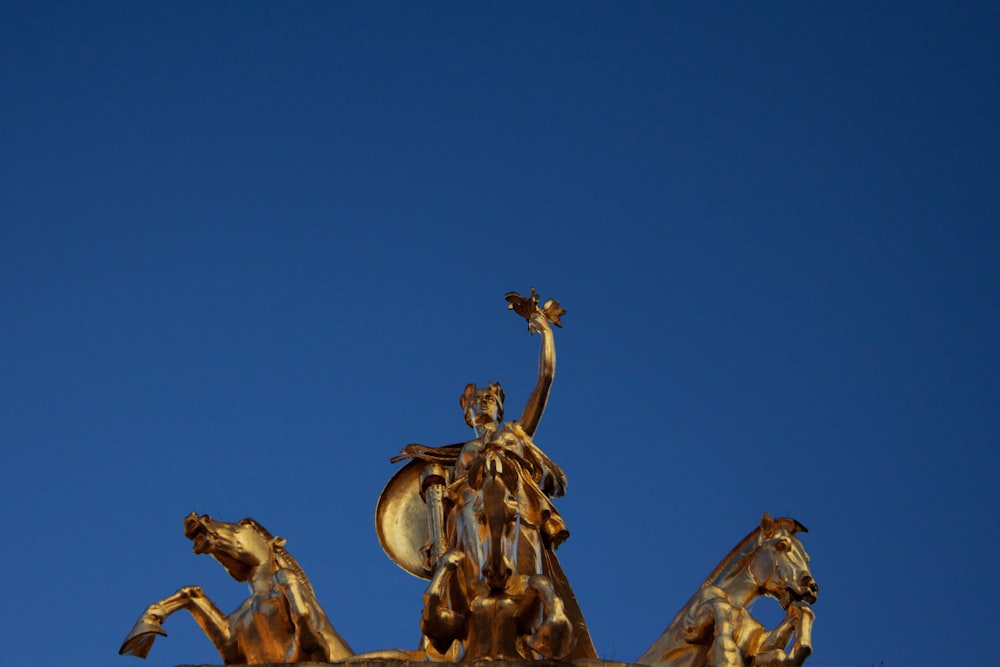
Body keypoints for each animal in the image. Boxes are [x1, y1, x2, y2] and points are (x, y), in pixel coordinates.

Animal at [118, 516, 354, 664]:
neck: (262, 593)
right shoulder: (234, 649)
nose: (197, 517)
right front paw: (146, 625)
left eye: (242, 526)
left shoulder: (316, 651)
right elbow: (191, 593)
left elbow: (287, 578)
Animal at [640, 516, 820, 667]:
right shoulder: (690, 627)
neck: (735, 601)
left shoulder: (753, 645)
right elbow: (720, 608)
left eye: (807, 558)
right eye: (781, 545)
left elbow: (803, 614)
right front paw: (727, 657)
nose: (811, 588)